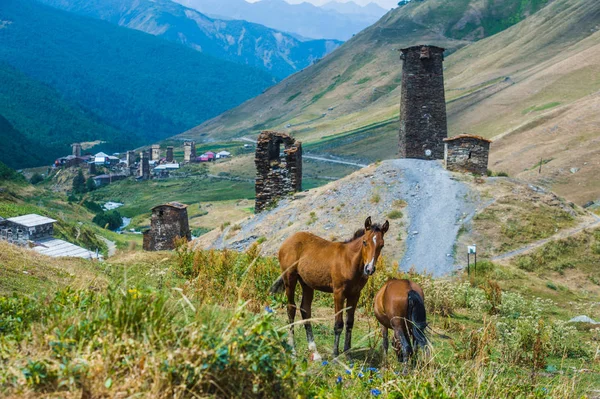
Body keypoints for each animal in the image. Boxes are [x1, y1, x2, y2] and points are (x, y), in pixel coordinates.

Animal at [270, 217, 390, 360]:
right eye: (365, 242)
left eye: (382, 245)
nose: (369, 269)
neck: (349, 261)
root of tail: (288, 240)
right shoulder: (338, 293)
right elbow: (338, 324)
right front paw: (335, 355)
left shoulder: (355, 294)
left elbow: (350, 322)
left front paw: (348, 354)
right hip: (289, 279)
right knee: (291, 309)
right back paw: (293, 351)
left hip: (306, 283)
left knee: (305, 309)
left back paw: (315, 352)